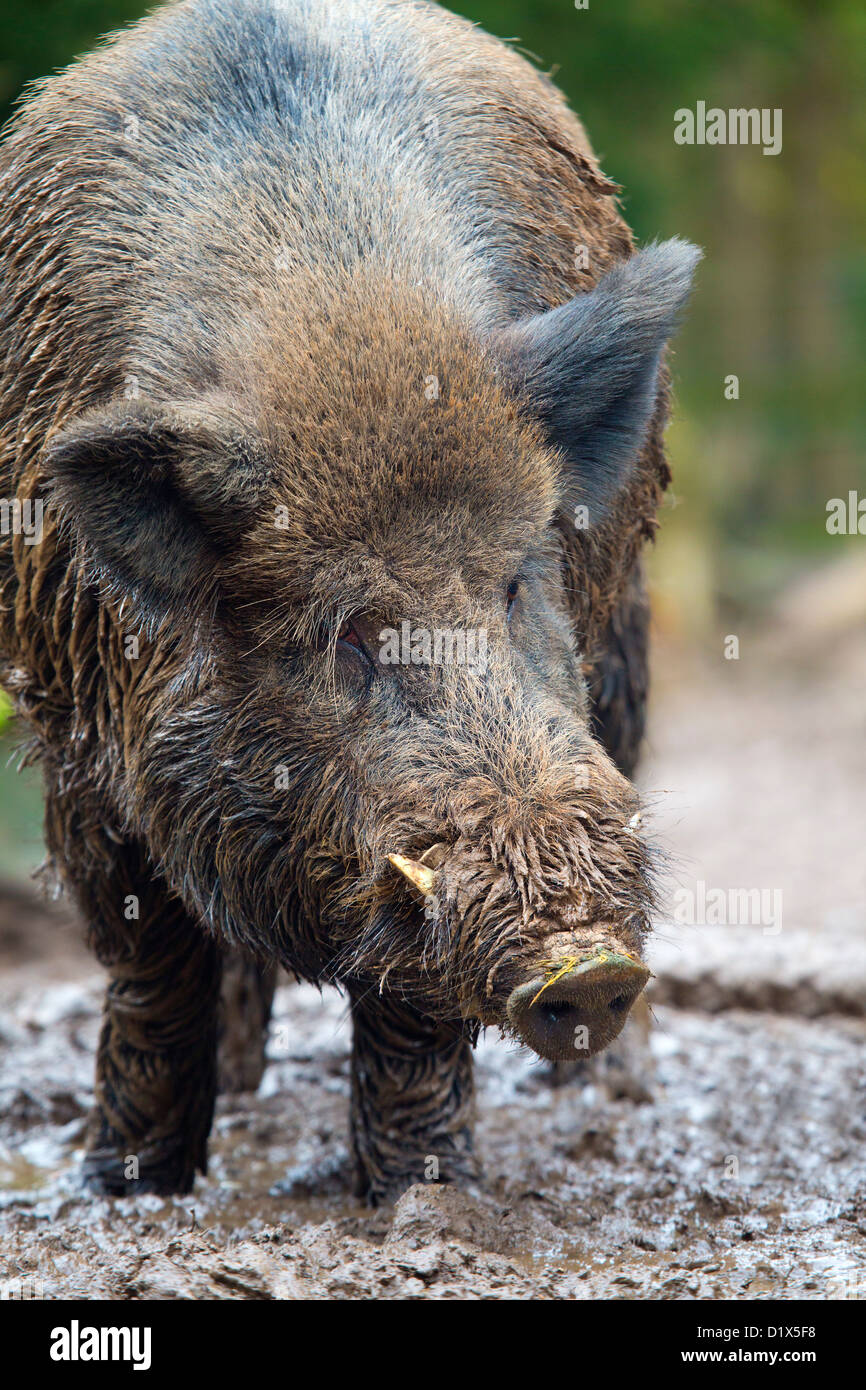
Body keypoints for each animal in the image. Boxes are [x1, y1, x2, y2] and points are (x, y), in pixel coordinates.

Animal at [0, 0, 698, 1203]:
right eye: (348, 635)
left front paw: (422, 1195)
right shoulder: (75, 728)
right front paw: (129, 1184)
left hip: (626, 632)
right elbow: (151, 964)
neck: (341, 329)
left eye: (514, 583)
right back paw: (240, 1089)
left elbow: (410, 1011)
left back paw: (614, 1096)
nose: (589, 966)